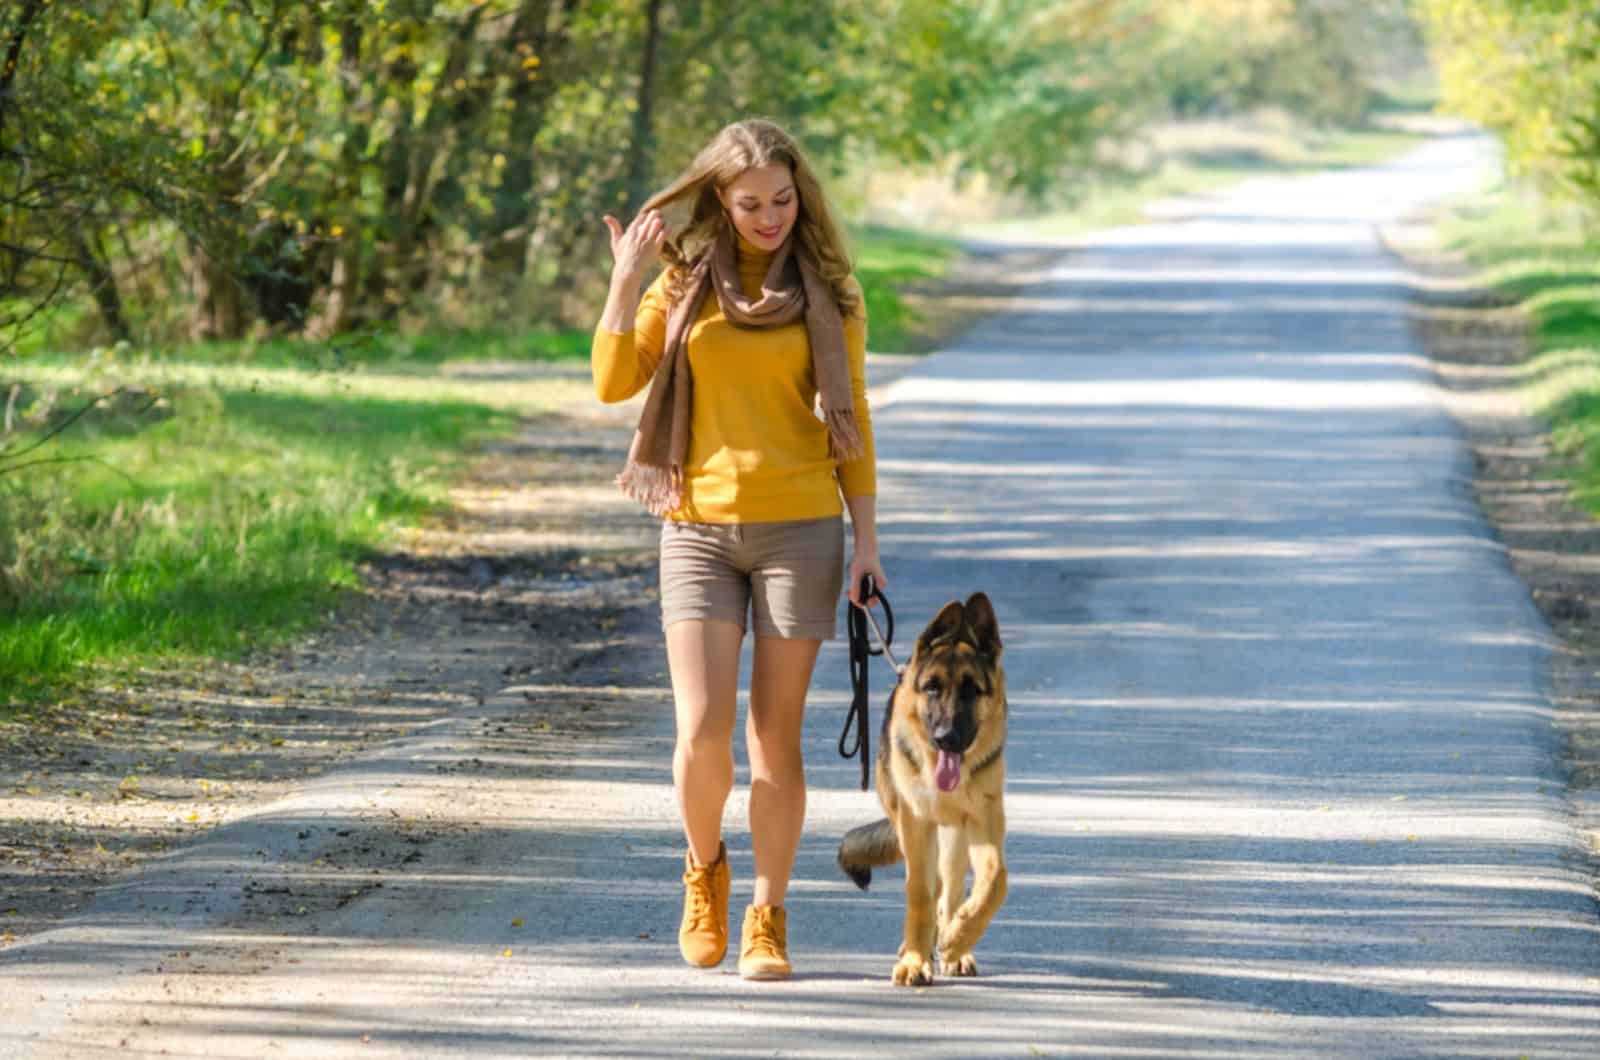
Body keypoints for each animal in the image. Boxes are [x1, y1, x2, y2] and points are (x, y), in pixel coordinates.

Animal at [832, 598, 1004, 986]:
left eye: (971, 689)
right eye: (932, 688)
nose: (946, 738)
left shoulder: (982, 821)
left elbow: (994, 880)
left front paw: (957, 940)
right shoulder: (915, 822)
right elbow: (919, 893)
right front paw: (914, 960)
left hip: (955, 836)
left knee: (951, 888)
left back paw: (954, 944)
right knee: (932, 887)